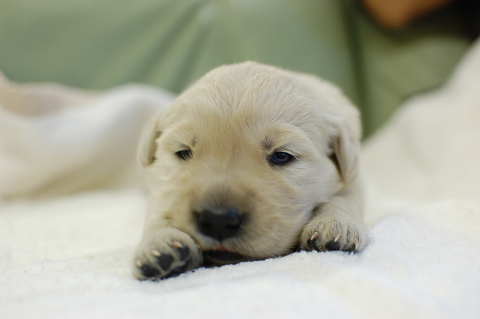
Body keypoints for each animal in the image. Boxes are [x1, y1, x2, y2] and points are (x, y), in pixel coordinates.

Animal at [131, 62, 368, 280]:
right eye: (183, 152)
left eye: (282, 156)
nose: (217, 220)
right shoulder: (160, 187)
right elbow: (159, 209)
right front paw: (160, 242)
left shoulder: (353, 177)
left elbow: (343, 197)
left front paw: (335, 224)